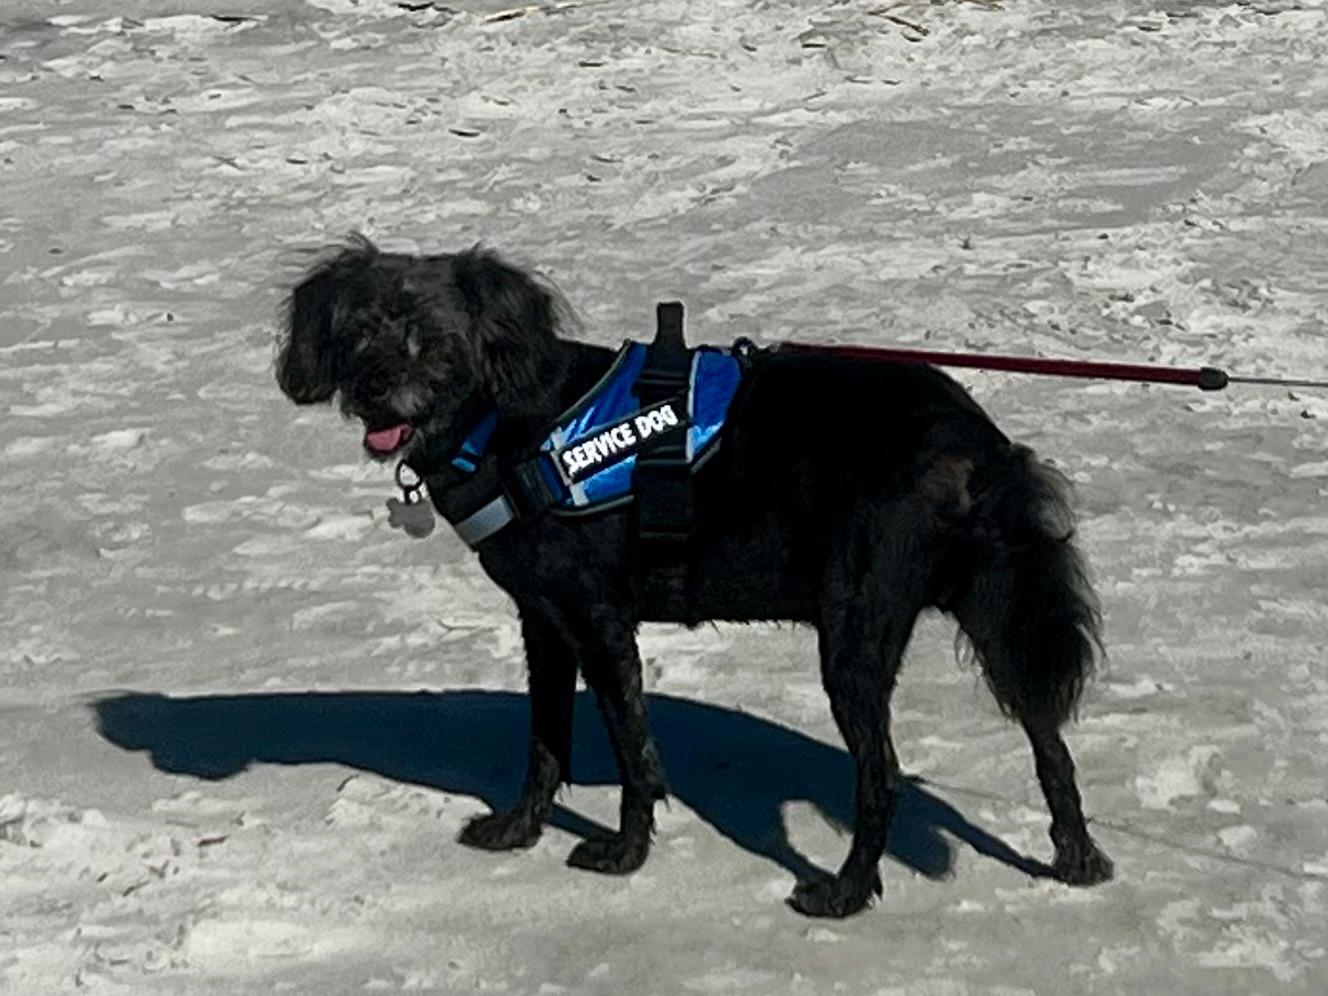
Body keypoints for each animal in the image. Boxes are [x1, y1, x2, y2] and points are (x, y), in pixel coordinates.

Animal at [274, 240, 1115, 918]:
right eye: (355, 331)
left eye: (431, 336)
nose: (373, 390)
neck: (507, 421)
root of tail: (976, 441)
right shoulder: (544, 621)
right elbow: (545, 738)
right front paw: (520, 827)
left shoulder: (600, 620)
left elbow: (630, 748)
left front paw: (625, 854)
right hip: (997, 612)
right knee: (1050, 742)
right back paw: (1076, 858)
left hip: (855, 631)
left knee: (883, 778)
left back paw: (846, 893)